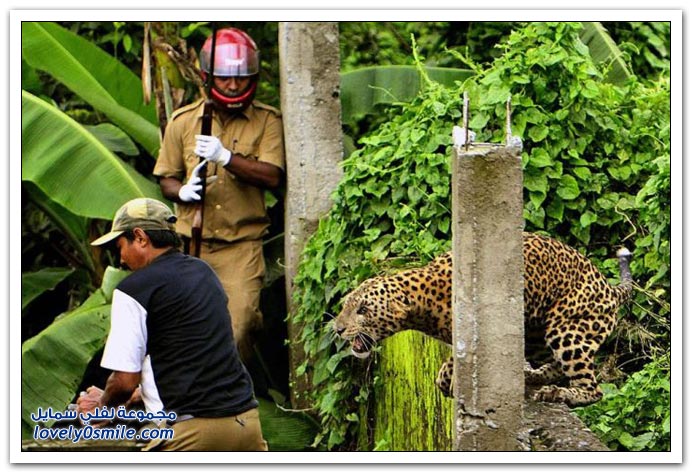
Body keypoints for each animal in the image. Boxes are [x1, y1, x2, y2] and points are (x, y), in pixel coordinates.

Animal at [334, 231, 632, 406]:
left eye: (363, 310)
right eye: (345, 305)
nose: (337, 329)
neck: (424, 301)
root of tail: (610, 288)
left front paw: (453, 380)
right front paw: (446, 379)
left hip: (566, 329)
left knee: (592, 389)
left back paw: (560, 393)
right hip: (536, 332)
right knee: (556, 365)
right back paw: (533, 376)